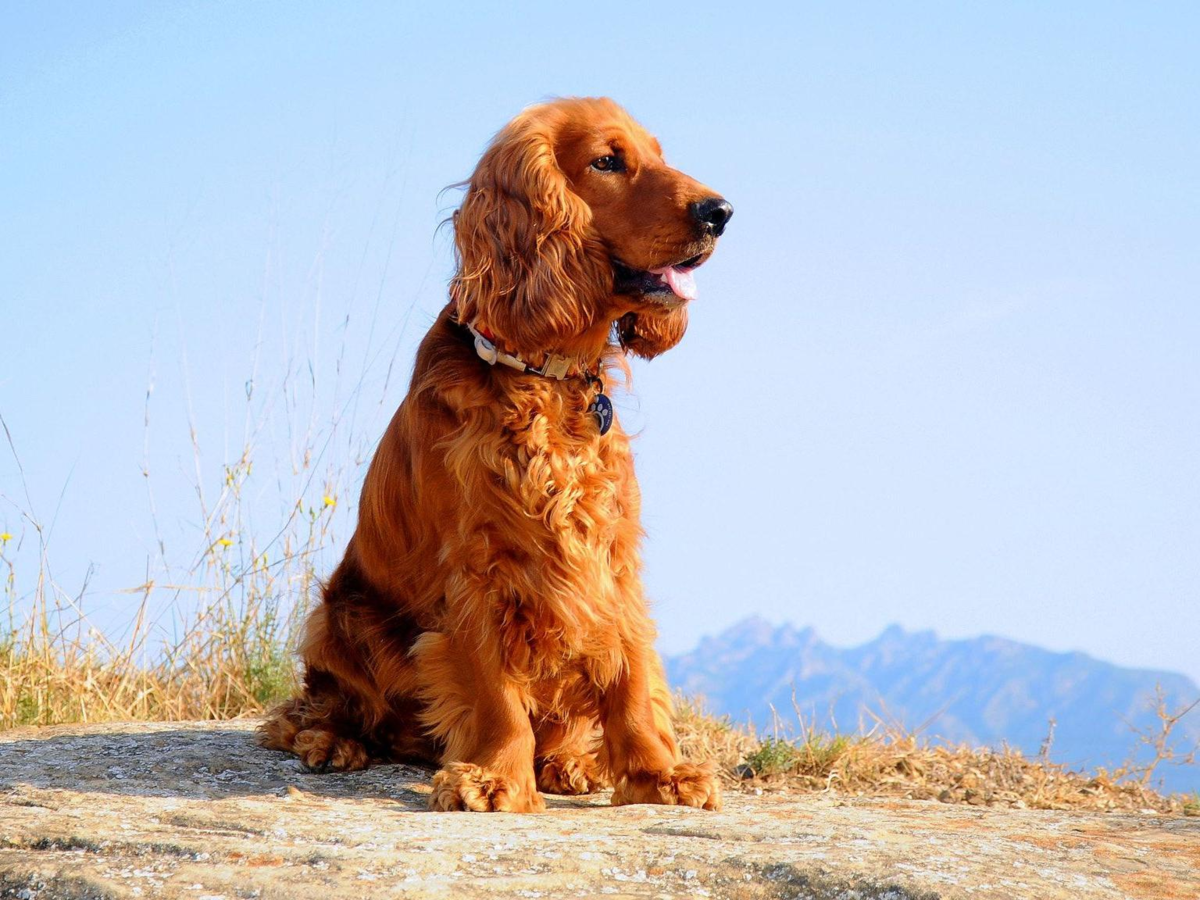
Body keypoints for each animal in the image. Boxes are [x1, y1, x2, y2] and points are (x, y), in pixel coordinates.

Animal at [261, 98, 729, 816]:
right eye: (607, 161)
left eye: (657, 155)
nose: (720, 212)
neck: (546, 375)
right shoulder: (478, 563)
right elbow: (494, 688)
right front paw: (495, 778)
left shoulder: (609, 554)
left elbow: (628, 671)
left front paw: (658, 773)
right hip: (338, 616)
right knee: (312, 706)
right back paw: (332, 741)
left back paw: (567, 762)